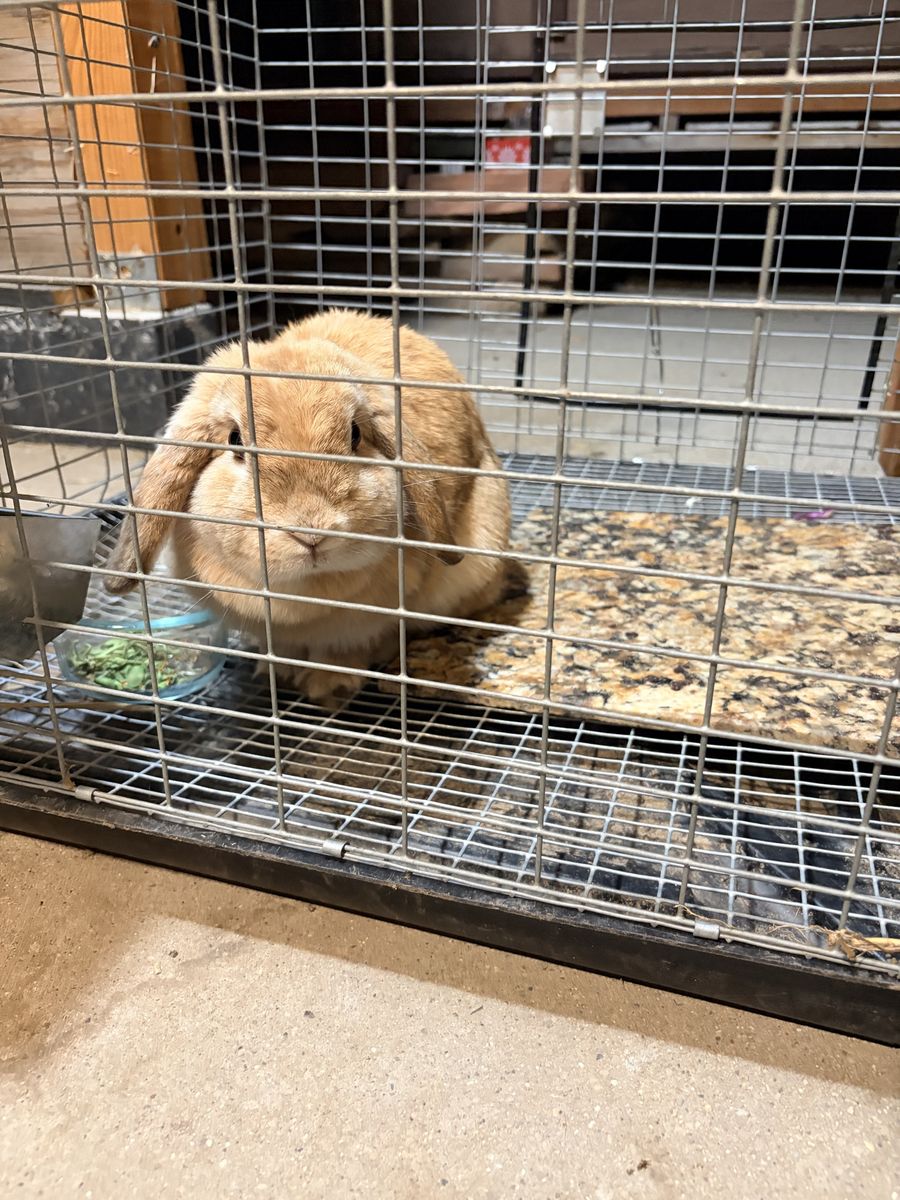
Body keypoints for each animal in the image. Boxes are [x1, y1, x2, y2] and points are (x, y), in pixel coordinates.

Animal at [105, 309, 512, 708]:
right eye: (235, 441)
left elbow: (351, 649)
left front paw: (328, 684)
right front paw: (277, 670)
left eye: (355, 435)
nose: (311, 533)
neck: (304, 593)